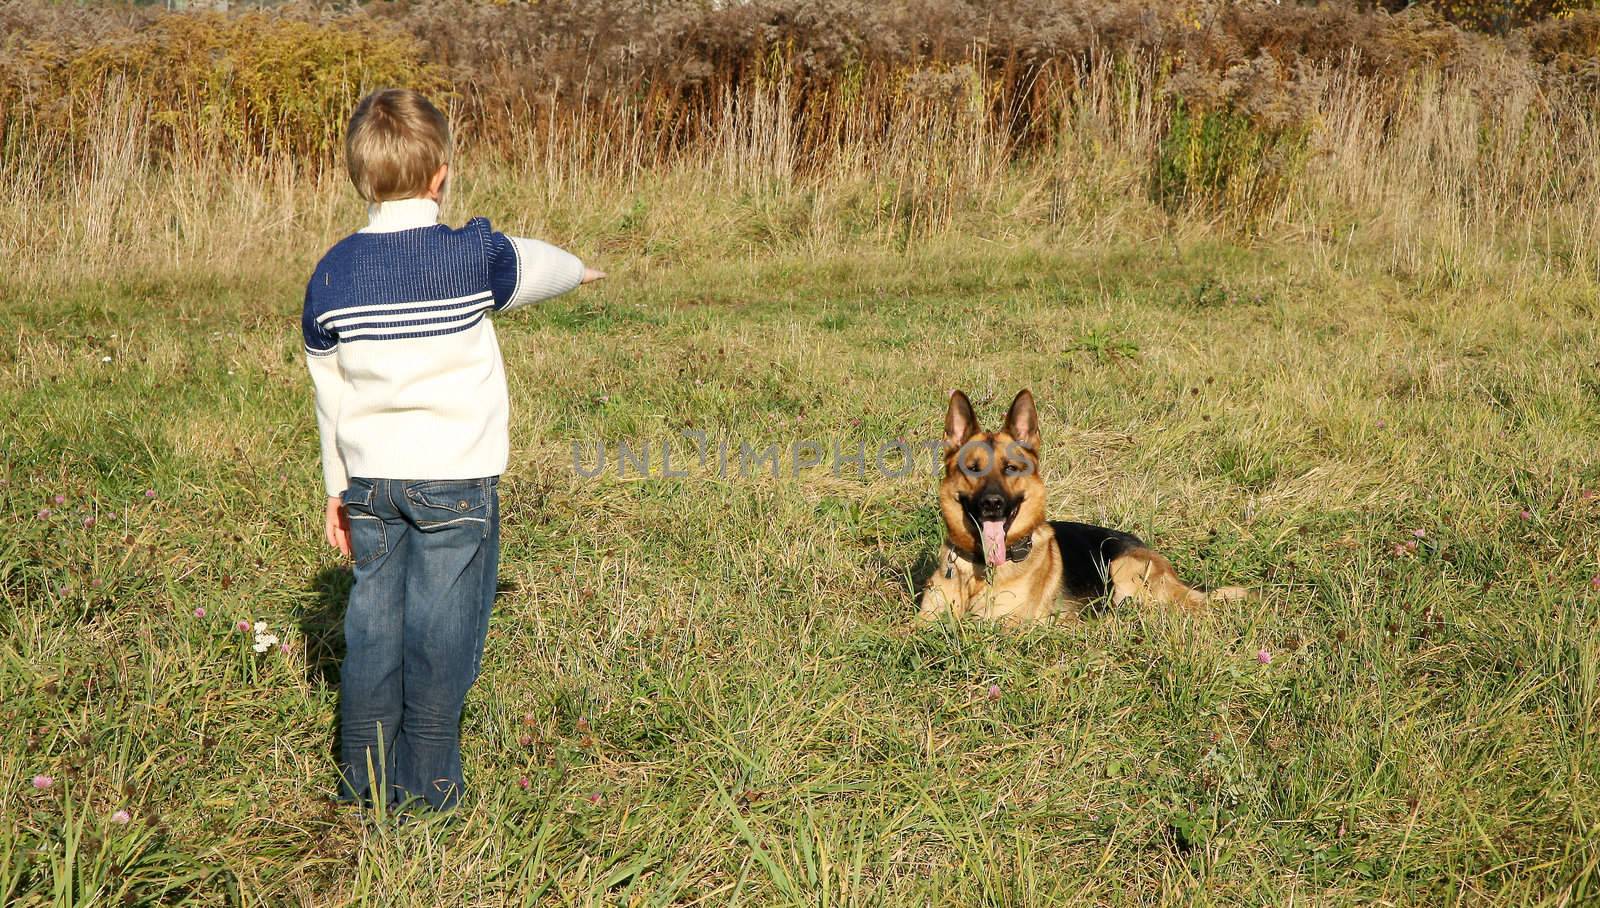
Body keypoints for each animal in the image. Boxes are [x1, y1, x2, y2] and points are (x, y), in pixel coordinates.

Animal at [921, 386, 1241, 626]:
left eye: (1010, 468)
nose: (992, 504)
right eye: (972, 469)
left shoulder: (1001, 626)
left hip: (1123, 571)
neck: (977, 570)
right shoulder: (923, 622)